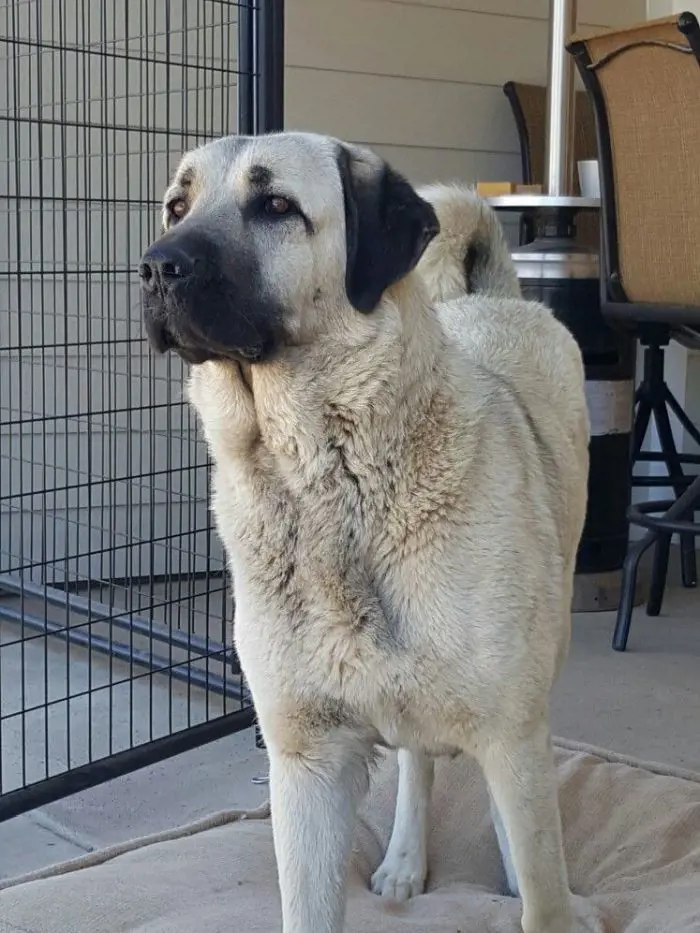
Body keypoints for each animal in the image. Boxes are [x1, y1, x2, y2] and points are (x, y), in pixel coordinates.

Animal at [141, 131, 592, 932]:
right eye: (176, 206)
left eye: (276, 205)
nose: (158, 265)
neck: (327, 483)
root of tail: (492, 301)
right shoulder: (307, 763)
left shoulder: (512, 735)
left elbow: (544, 894)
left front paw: (528, 881)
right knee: (417, 759)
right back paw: (406, 860)